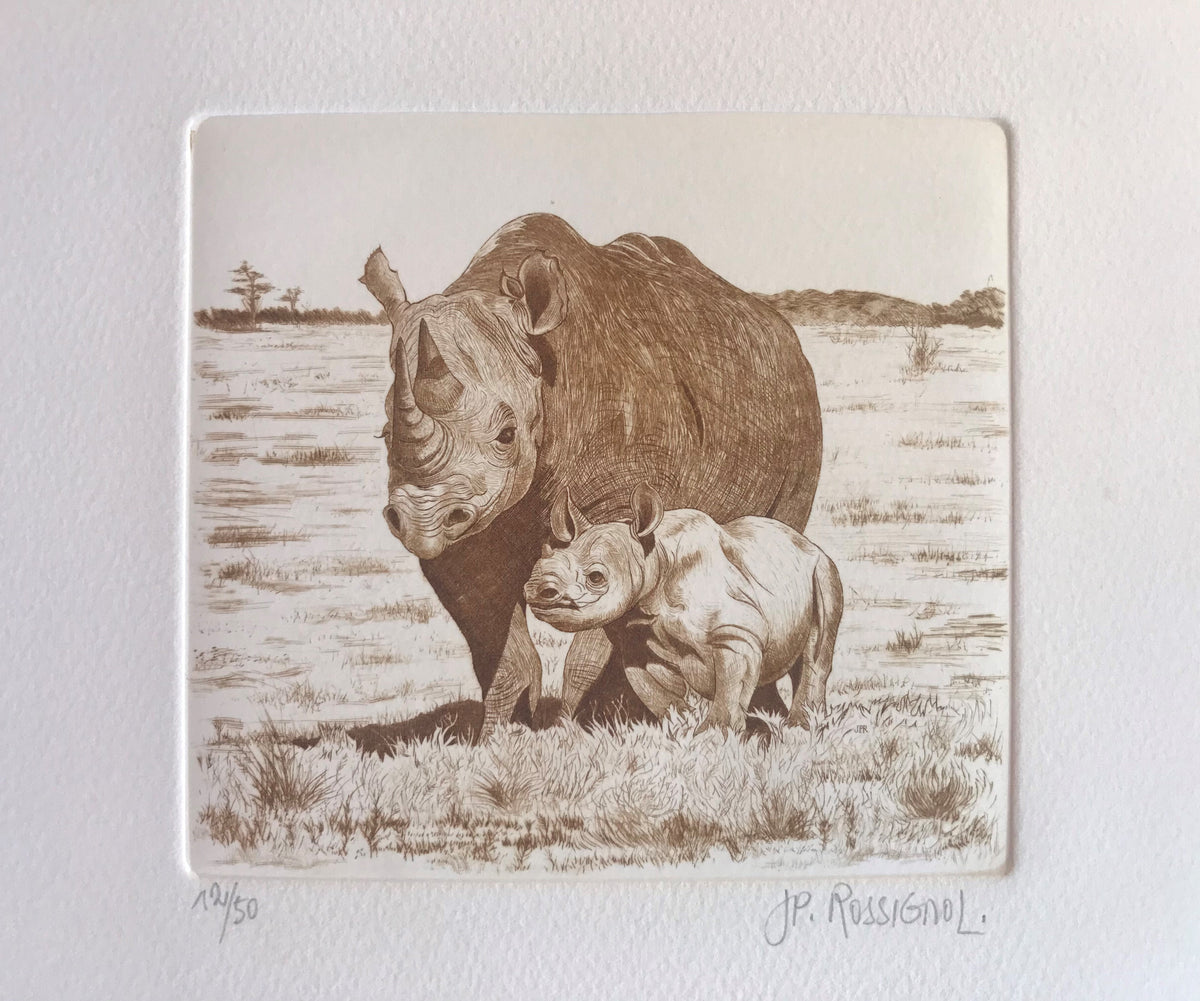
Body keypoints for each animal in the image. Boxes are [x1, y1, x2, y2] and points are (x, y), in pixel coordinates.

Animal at [360, 214, 823, 738]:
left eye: (506, 434)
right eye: (383, 434)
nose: (419, 520)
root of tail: (783, 329)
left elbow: (600, 618)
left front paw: (571, 730)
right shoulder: (467, 527)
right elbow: (490, 625)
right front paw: (501, 735)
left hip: (799, 403)